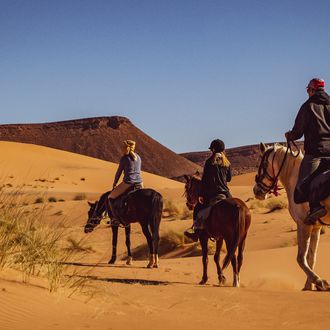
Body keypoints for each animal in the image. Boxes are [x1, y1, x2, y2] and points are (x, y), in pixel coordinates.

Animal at [254, 142, 328, 292]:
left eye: (262, 164)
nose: (256, 191)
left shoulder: (303, 224)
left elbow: (301, 258)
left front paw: (318, 281)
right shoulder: (316, 227)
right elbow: (311, 257)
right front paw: (309, 285)